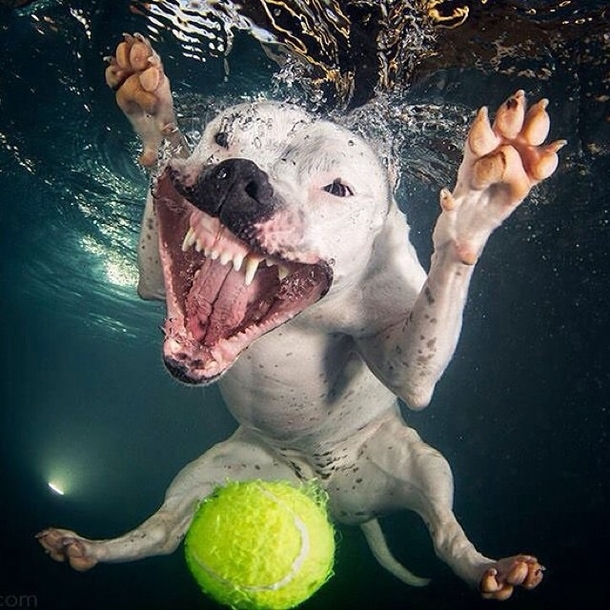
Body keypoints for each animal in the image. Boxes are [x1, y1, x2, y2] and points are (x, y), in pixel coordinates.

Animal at [38, 33, 564, 600]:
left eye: (337, 187)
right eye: (223, 137)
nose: (241, 175)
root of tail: (323, 493)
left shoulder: (409, 366)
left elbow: (427, 330)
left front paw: (479, 203)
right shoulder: (156, 279)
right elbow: (164, 188)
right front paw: (153, 115)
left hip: (424, 464)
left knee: (444, 531)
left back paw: (491, 567)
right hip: (213, 472)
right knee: (164, 530)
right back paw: (88, 548)